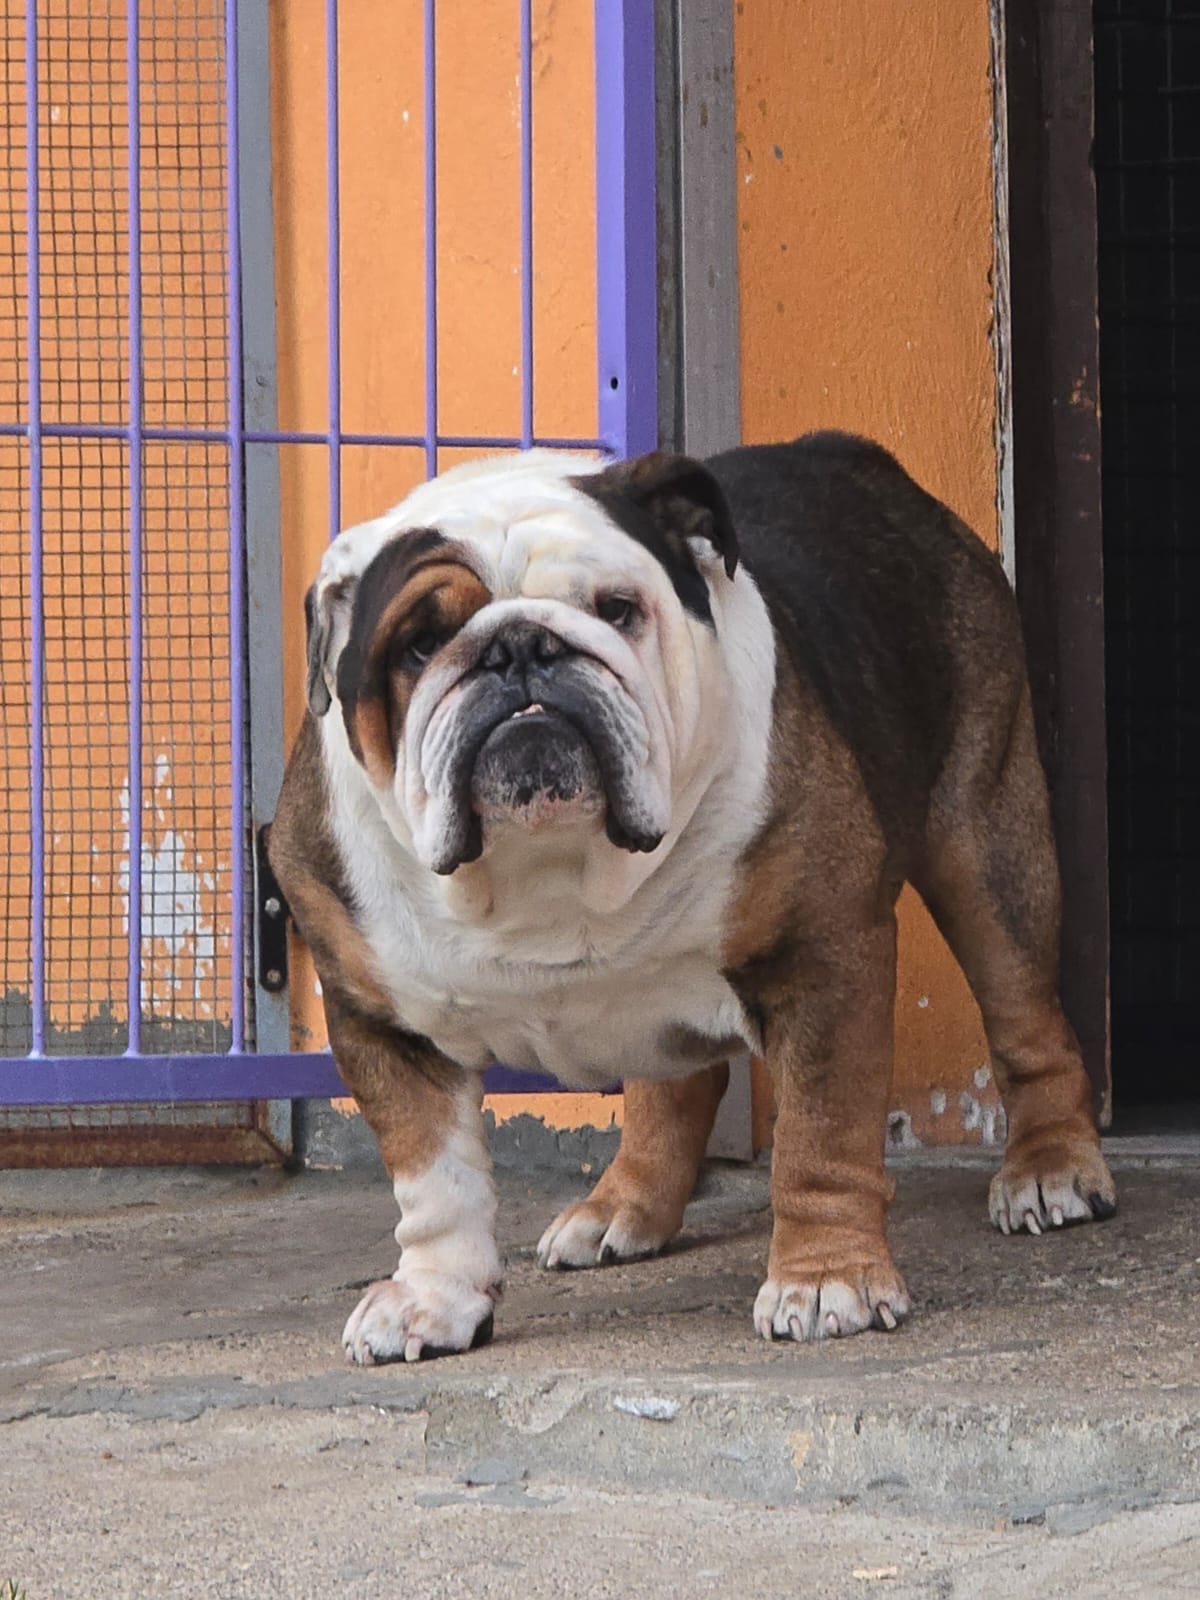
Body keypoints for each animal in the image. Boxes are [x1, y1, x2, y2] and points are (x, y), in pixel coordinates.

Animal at [269, 433, 1116, 1364]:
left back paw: (1050, 1169)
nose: (518, 648)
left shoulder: (819, 955)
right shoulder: (381, 1020)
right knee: (672, 1083)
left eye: (616, 609)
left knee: (1026, 1014)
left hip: (986, 842)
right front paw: (433, 1298)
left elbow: (822, 1133)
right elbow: (434, 1179)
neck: (551, 865)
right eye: (418, 646)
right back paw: (622, 1207)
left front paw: (826, 1278)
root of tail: (849, 452)